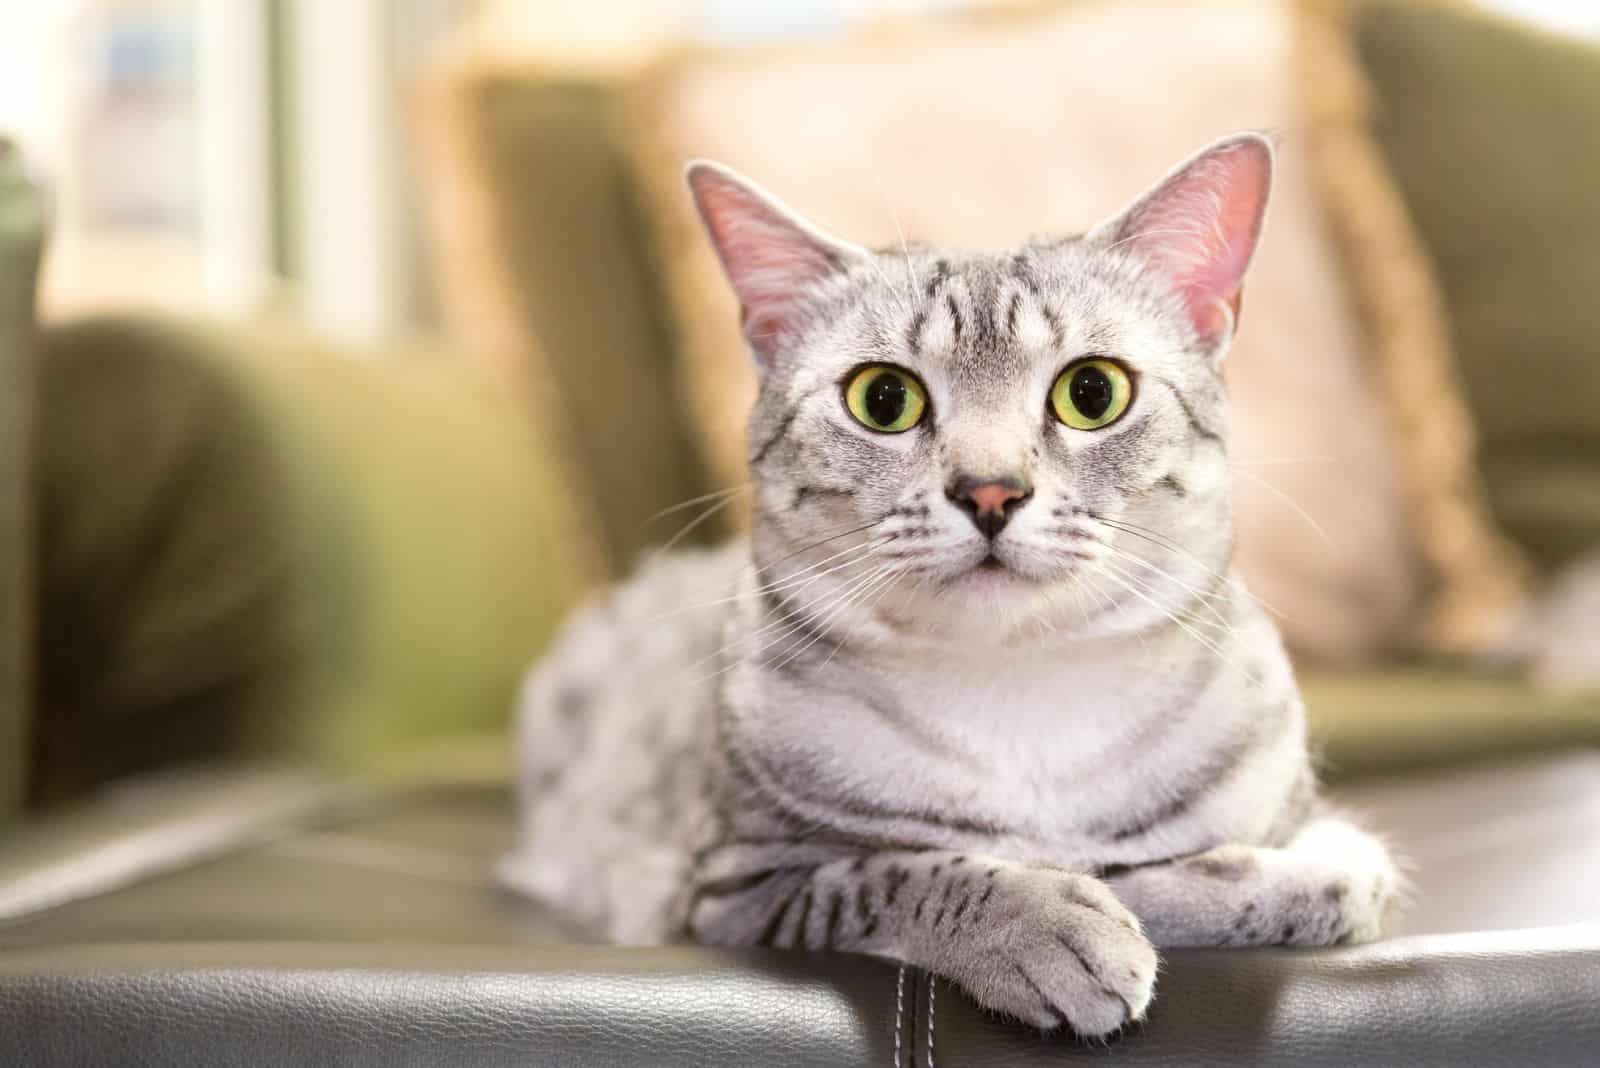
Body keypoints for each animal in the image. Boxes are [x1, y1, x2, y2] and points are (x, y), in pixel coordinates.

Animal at [499, 133, 1401, 1036]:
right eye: (883, 399)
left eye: (1093, 392)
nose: (990, 491)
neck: (1021, 703)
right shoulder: (734, 887)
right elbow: (910, 873)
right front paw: (1053, 922)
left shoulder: (1315, 833)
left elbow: (1320, 878)